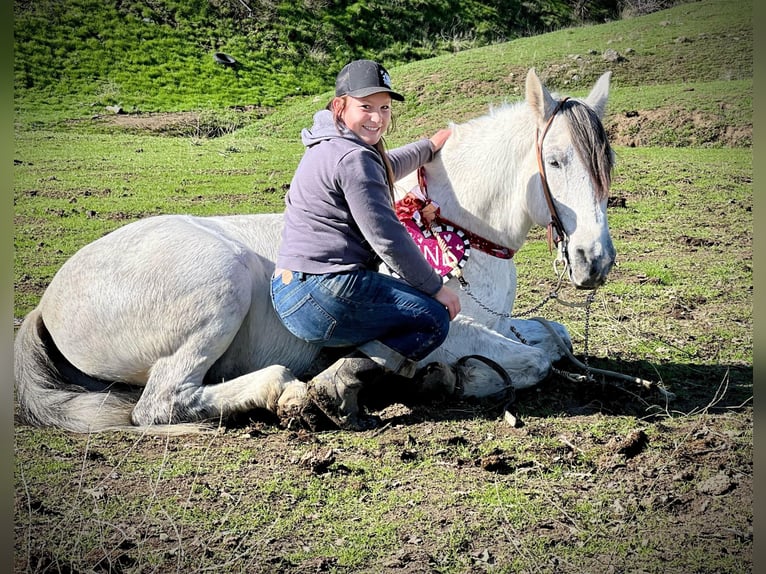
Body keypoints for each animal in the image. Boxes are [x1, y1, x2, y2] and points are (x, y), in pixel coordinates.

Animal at [13, 68, 616, 432]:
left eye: (605, 163)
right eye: (556, 160)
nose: (596, 261)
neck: (452, 229)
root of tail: (48, 301)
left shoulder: (496, 320)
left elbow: (553, 337)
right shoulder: (447, 324)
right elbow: (531, 359)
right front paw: (447, 377)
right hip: (221, 286)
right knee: (161, 402)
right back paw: (285, 391)